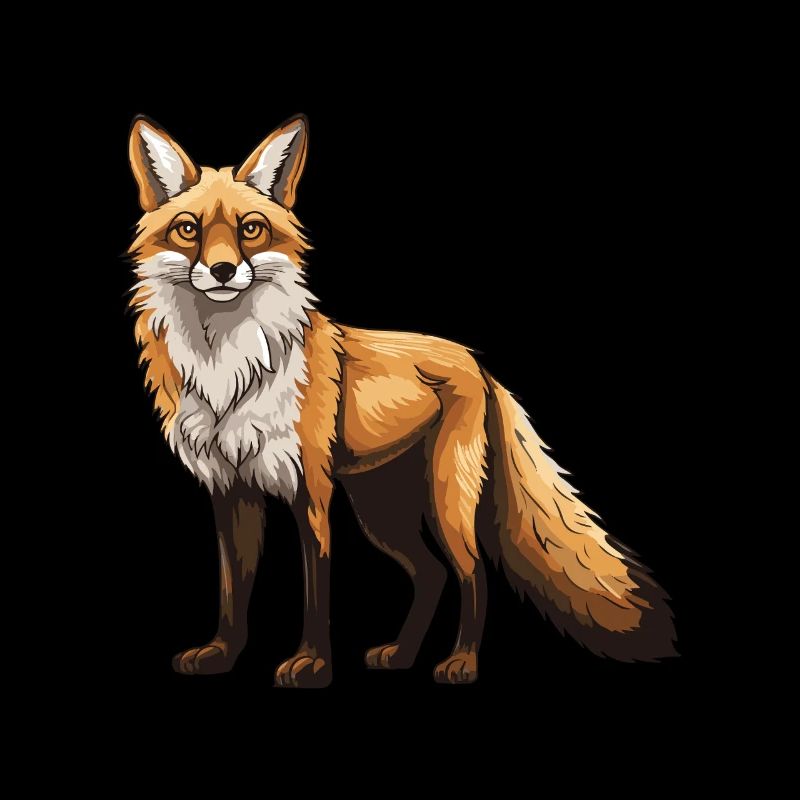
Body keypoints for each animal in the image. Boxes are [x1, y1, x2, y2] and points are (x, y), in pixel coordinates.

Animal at [127, 114, 676, 686]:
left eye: (250, 229)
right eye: (188, 229)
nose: (223, 271)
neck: (229, 372)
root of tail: (478, 362)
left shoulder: (311, 491)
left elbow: (317, 588)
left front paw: (313, 663)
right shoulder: (229, 490)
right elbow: (233, 590)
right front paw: (221, 654)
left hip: (445, 501)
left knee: (473, 573)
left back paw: (461, 662)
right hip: (381, 511)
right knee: (432, 575)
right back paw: (402, 655)